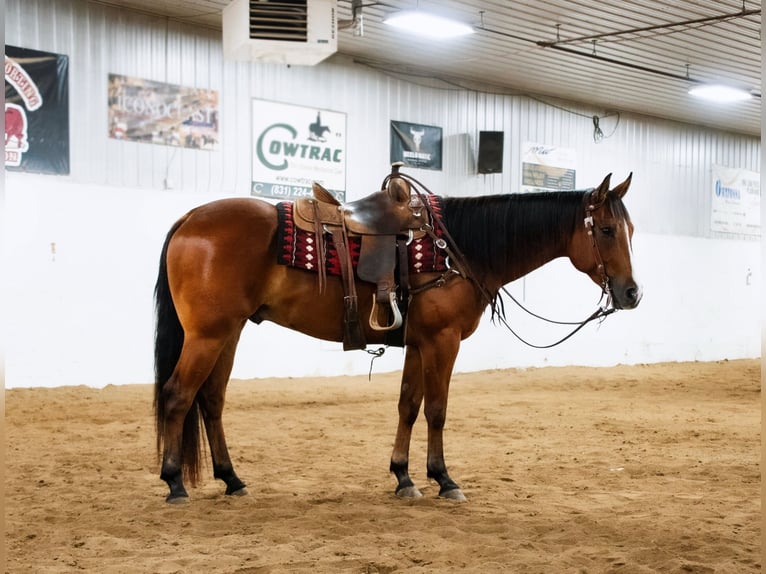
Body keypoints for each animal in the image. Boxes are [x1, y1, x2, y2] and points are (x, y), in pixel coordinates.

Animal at [153, 169, 640, 506]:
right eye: (607, 230)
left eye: (631, 231)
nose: (632, 293)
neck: (458, 248)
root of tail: (189, 218)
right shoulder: (443, 340)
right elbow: (437, 410)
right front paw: (444, 479)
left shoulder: (420, 343)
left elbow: (408, 404)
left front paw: (404, 477)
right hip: (208, 334)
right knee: (178, 395)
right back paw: (175, 483)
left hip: (228, 332)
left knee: (210, 400)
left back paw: (232, 480)